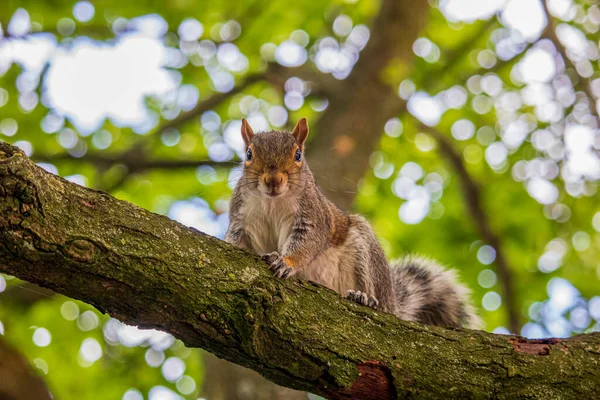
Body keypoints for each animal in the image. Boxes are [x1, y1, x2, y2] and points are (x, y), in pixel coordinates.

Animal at [223, 118, 480, 328]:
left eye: (298, 155)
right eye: (248, 154)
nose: (273, 180)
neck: (272, 202)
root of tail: (392, 304)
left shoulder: (314, 217)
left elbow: (307, 243)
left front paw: (285, 262)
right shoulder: (241, 219)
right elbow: (236, 239)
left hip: (364, 252)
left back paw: (365, 298)